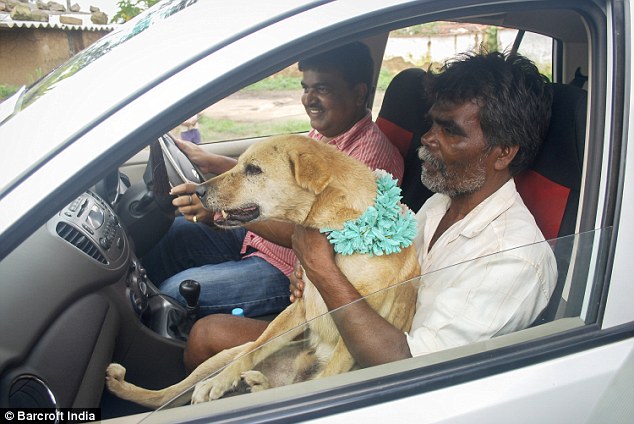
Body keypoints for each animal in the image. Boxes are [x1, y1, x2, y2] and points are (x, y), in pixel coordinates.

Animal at [105, 135, 420, 408]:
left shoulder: (353, 333)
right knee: (167, 395)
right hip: (221, 356)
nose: (198, 190)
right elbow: (257, 347)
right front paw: (222, 381)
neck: (339, 228)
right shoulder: (299, 306)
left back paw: (261, 385)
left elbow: (329, 374)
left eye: (254, 169)